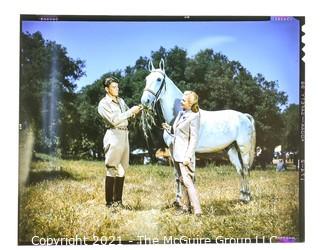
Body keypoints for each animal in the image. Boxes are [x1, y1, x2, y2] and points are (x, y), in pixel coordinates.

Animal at [141, 59, 256, 203]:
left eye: (158, 79)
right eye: (146, 79)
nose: (145, 101)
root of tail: (244, 116)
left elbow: (188, 176)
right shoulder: (173, 152)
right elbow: (177, 175)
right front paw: (177, 201)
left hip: (243, 148)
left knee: (245, 170)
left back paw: (247, 198)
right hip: (232, 149)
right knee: (240, 170)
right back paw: (242, 196)